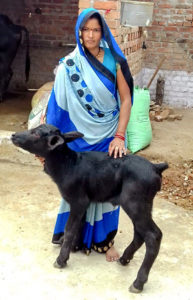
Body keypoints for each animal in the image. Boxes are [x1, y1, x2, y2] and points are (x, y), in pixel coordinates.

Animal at [12, 123, 169, 292]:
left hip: (135, 203)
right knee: (140, 233)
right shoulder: (84, 203)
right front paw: (74, 247)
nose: (13, 135)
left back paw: (138, 282)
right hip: (143, 205)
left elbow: (69, 228)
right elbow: (80, 225)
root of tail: (156, 167)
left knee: (153, 235)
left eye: (35, 133)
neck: (68, 165)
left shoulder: (78, 201)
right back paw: (124, 259)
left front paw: (61, 259)